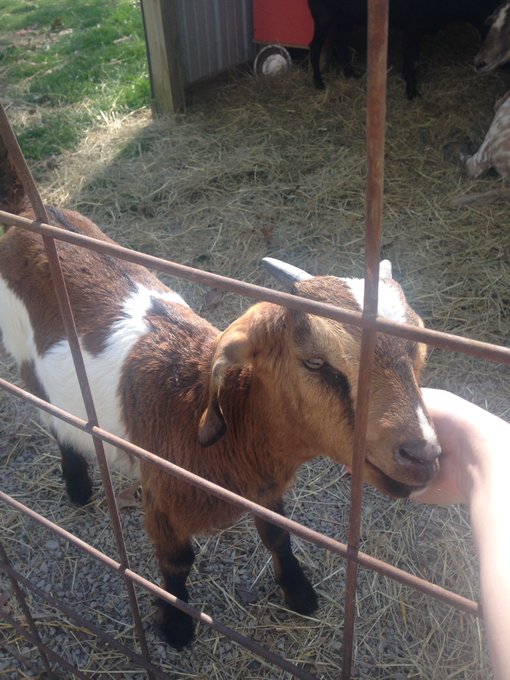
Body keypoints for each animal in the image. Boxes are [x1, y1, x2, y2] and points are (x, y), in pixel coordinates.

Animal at [0, 144, 441, 649]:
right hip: (24, 358)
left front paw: (299, 592)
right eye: (314, 362)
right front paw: (176, 626)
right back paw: (76, 485)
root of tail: (33, 212)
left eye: (420, 351)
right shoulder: (163, 498)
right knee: (54, 421)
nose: (422, 454)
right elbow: (176, 564)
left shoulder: (265, 490)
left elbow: (277, 536)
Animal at [307, 0, 500, 99]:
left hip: (346, 18)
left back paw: (351, 74)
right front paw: (411, 91)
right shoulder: (412, 28)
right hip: (323, 17)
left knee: (339, 46)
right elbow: (412, 59)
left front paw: (406, 79)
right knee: (315, 47)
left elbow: (413, 58)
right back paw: (318, 82)